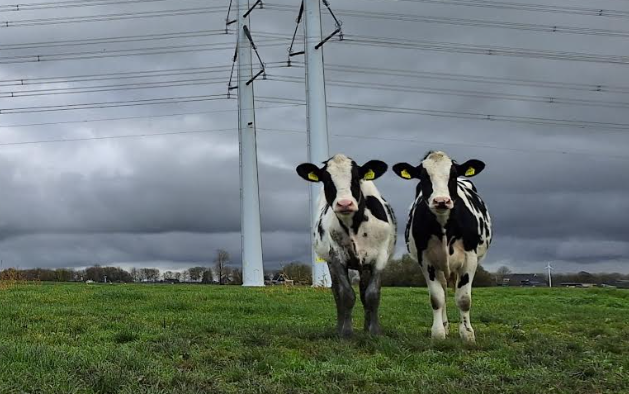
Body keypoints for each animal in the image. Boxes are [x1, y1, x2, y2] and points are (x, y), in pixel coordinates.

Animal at [294, 153, 392, 336]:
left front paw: (374, 331)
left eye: (356, 177)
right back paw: (340, 327)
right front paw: (345, 332)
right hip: (331, 262)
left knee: (363, 290)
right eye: (326, 180)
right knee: (336, 291)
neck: (354, 226)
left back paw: (366, 327)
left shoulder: (379, 257)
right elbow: (346, 294)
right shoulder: (337, 257)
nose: (345, 203)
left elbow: (372, 294)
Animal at [392, 151, 490, 342]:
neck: (444, 225)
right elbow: (437, 298)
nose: (441, 201)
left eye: (453, 175)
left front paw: (467, 334)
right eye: (423, 177)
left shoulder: (470, 258)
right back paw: (445, 326)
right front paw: (438, 334)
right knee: (444, 292)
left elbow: (464, 299)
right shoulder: (426, 260)